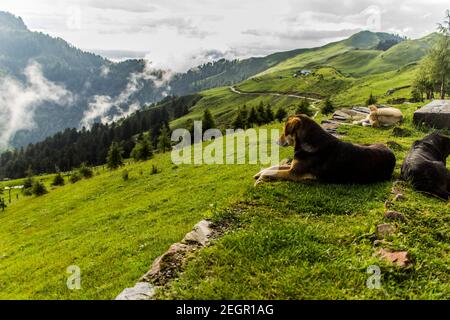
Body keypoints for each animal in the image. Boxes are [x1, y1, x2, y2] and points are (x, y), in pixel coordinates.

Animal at [255, 115, 396, 185]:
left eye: (284, 131)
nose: (276, 141)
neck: (310, 142)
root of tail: (390, 151)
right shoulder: (293, 167)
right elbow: (275, 167)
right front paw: (260, 172)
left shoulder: (293, 173)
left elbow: (274, 172)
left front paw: (262, 176)